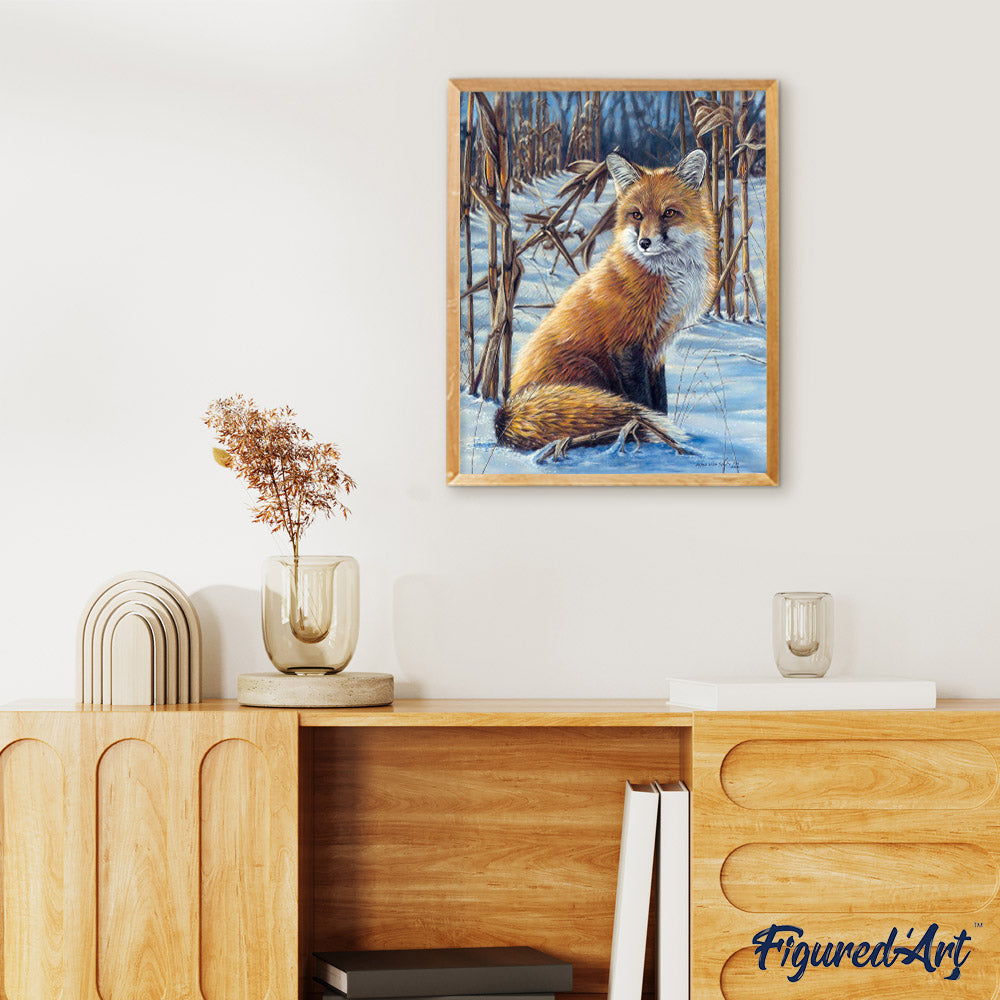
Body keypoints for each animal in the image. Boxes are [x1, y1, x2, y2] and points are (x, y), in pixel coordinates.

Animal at [493, 148, 717, 455]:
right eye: (636, 215)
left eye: (669, 213)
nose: (645, 243)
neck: (665, 275)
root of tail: (508, 410)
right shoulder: (626, 346)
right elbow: (643, 401)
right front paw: (653, 433)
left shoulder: (657, 348)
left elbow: (660, 400)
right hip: (589, 370)